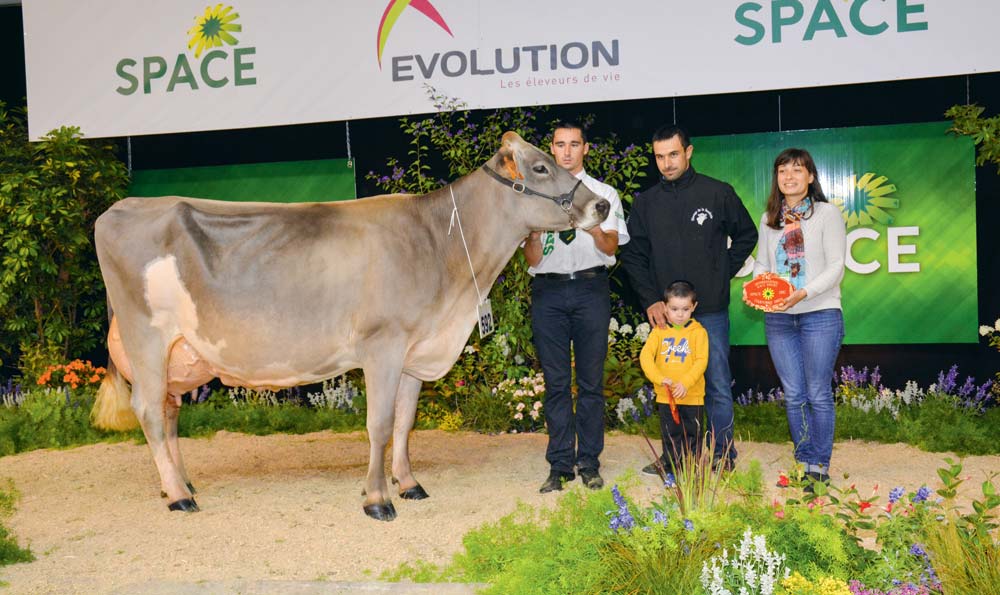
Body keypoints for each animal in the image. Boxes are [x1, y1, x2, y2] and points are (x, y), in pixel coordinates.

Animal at [94, 132, 608, 520]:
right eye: (540, 168)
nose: (602, 207)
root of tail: (120, 208)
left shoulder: (414, 350)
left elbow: (404, 422)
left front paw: (408, 483)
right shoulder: (383, 344)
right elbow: (378, 424)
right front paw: (377, 500)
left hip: (176, 351)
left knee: (168, 411)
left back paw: (178, 483)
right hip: (146, 335)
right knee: (148, 410)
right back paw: (180, 496)